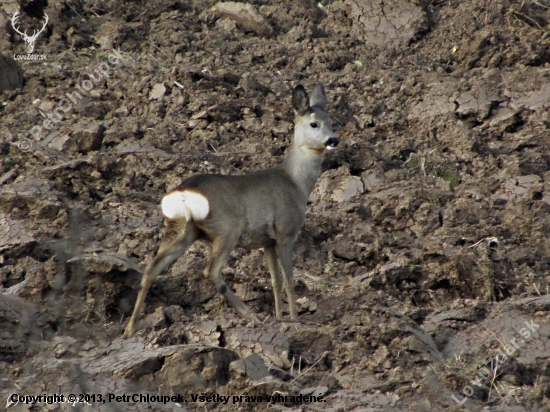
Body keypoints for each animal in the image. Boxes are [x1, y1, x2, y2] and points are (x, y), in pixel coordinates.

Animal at [124, 83, 338, 338]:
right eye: (314, 124)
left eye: (331, 120)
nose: (333, 139)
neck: (296, 183)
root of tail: (184, 193)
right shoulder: (286, 231)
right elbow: (289, 279)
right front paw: (295, 320)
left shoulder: (267, 241)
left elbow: (274, 281)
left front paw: (279, 317)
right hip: (227, 229)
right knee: (210, 271)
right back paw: (250, 315)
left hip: (181, 229)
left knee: (151, 269)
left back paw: (130, 328)